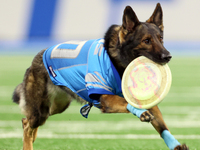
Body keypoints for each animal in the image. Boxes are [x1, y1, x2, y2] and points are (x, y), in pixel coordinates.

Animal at [12, 2, 189, 150]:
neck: (118, 60)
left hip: (56, 107)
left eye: (161, 39)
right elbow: (125, 102)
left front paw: (175, 145)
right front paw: (141, 113)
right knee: (28, 124)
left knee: (27, 121)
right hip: (41, 110)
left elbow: (162, 126)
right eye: (146, 40)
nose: (168, 56)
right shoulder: (105, 98)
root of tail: (38, 57)